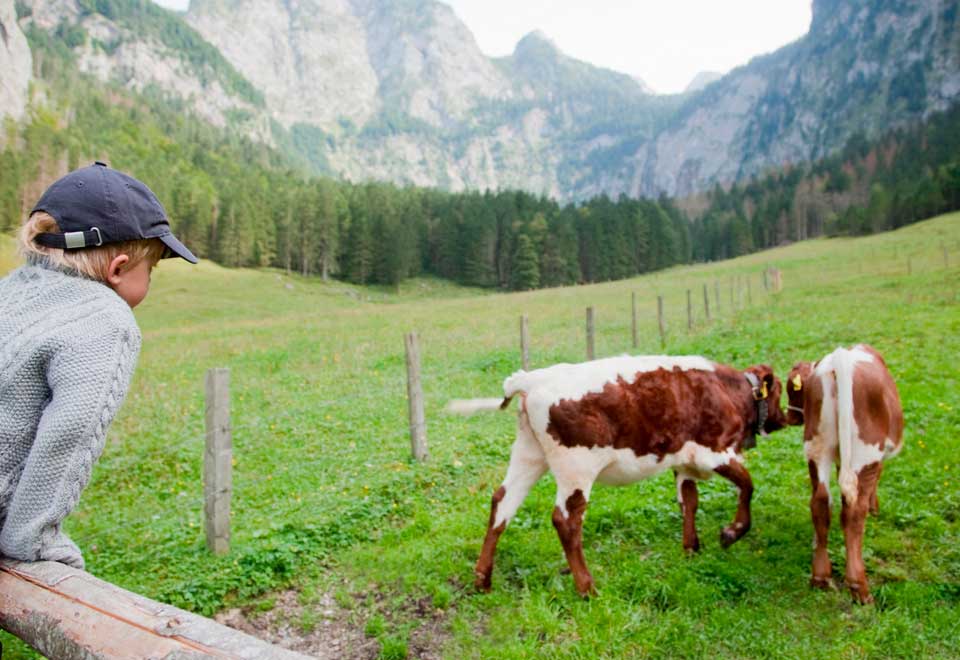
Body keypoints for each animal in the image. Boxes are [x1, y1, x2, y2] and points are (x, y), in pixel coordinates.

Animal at [450, 355, 787, 595]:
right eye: (780, 392)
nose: (785, 419)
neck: (726, 391)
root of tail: (532, 378)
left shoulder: (684, 461)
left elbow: (689, 502)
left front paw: (691, 548)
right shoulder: (715, 453)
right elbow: (748, 486)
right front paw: (731, 532)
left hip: (529, 455)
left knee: (502, 504)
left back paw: (482, 579)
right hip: (576, 468)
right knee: (566, 521)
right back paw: (587, 588)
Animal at [784, 344, 903, 604]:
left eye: (792, 390)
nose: (789, 417)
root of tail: (841, 357)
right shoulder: (875, 461)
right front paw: (875, 508)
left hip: (817, 448)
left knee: (820, 502)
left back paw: (820, 577)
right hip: (865, 454)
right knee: (854, 513)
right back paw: (859, 587)